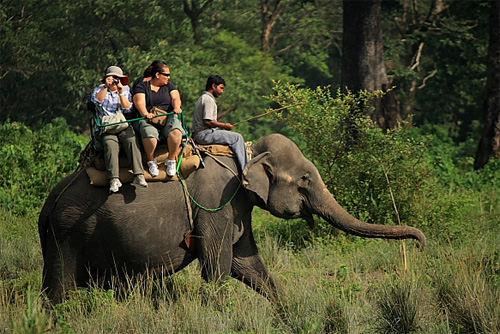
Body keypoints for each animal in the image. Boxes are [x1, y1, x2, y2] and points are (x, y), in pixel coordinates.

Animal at [39, 132, 426, 302]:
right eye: (304, 179)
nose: (422, 245)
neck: (249, 153)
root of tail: (49, 202)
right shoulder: (218, 202)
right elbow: (217, 264)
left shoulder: (239, 205)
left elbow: (248, 264)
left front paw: (289, 314)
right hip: (68, 231)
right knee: (61, 287)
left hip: (60, 232)